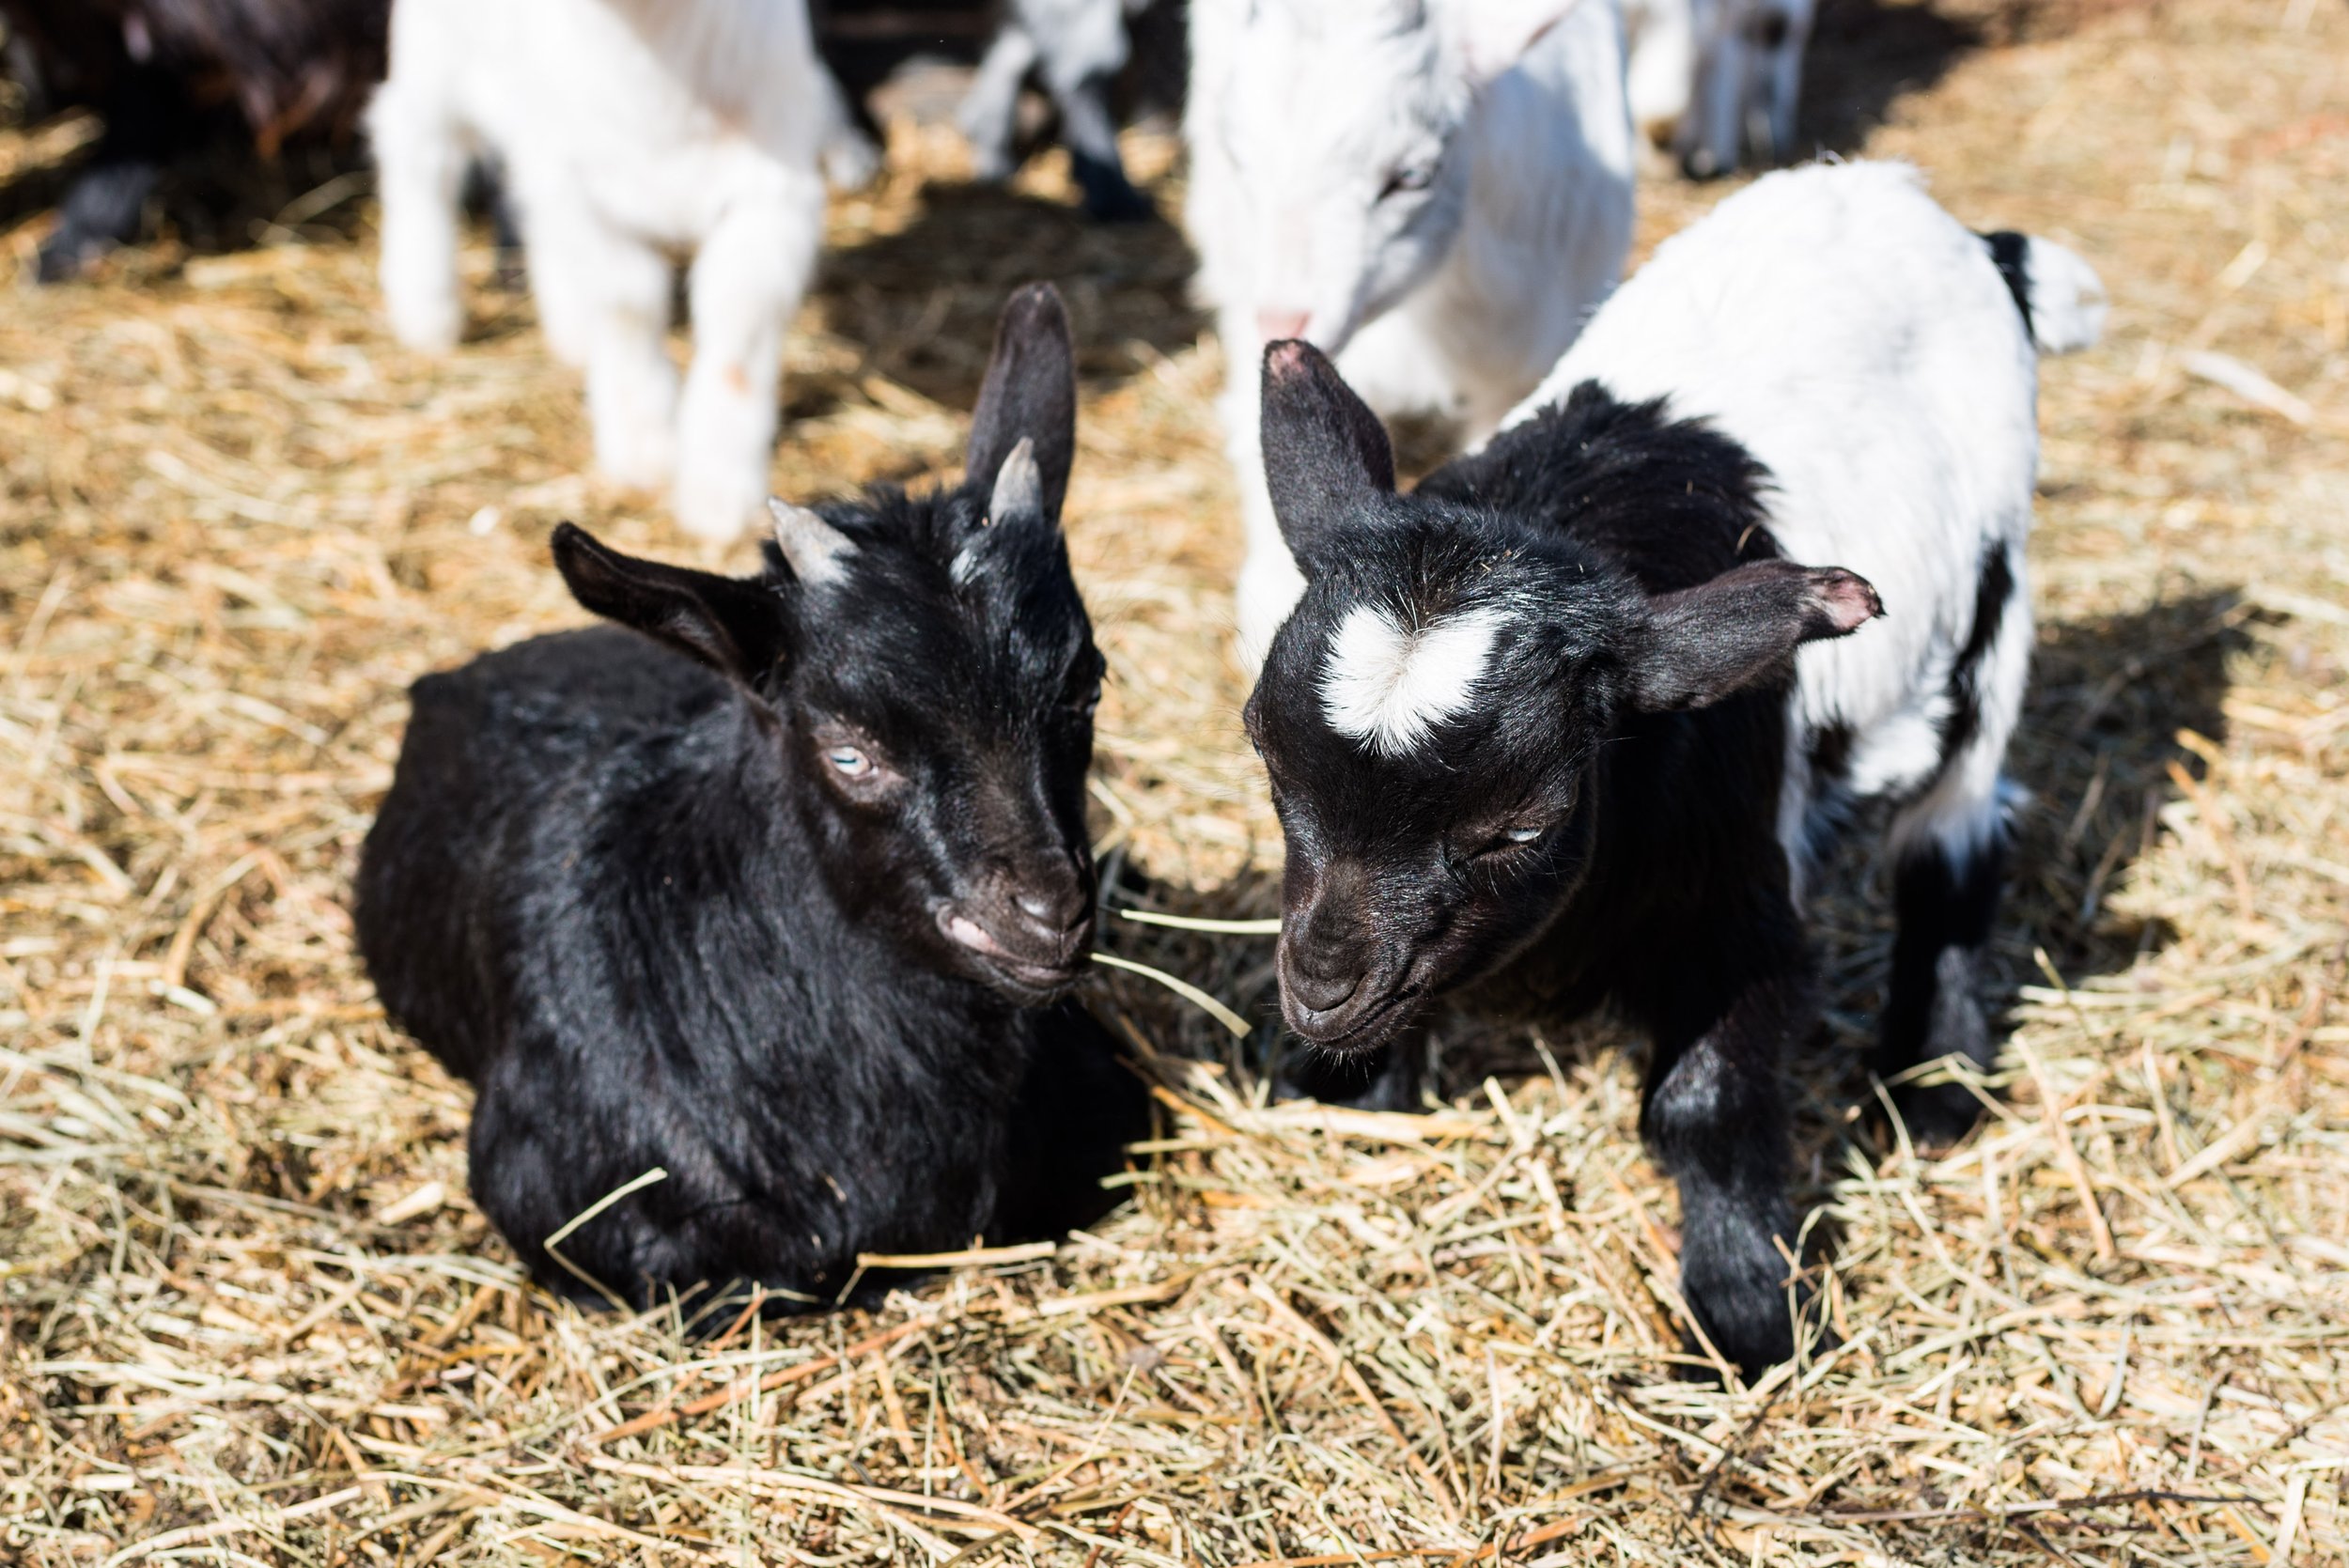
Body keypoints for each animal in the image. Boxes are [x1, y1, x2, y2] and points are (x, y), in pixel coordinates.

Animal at [371, 0, 832, 539]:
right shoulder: (583, 186)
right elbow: (628, 302)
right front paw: (643, 446)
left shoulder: (775, 192)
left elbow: (740, 324)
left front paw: (720, 493)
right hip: (433, 60)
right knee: (418, 154)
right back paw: (426, 311)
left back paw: (568, 329)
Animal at [1250, 165, 2114, 1371]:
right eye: (1266, 753)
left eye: (1521, 825)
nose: (1321, 992)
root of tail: (1946, 223)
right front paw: (1348, 1087)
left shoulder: (1733, 893)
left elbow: (1706, 1099)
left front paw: (1747, 1312)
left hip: (1990, 622)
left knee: (1956, 831)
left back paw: (1932, 1079)